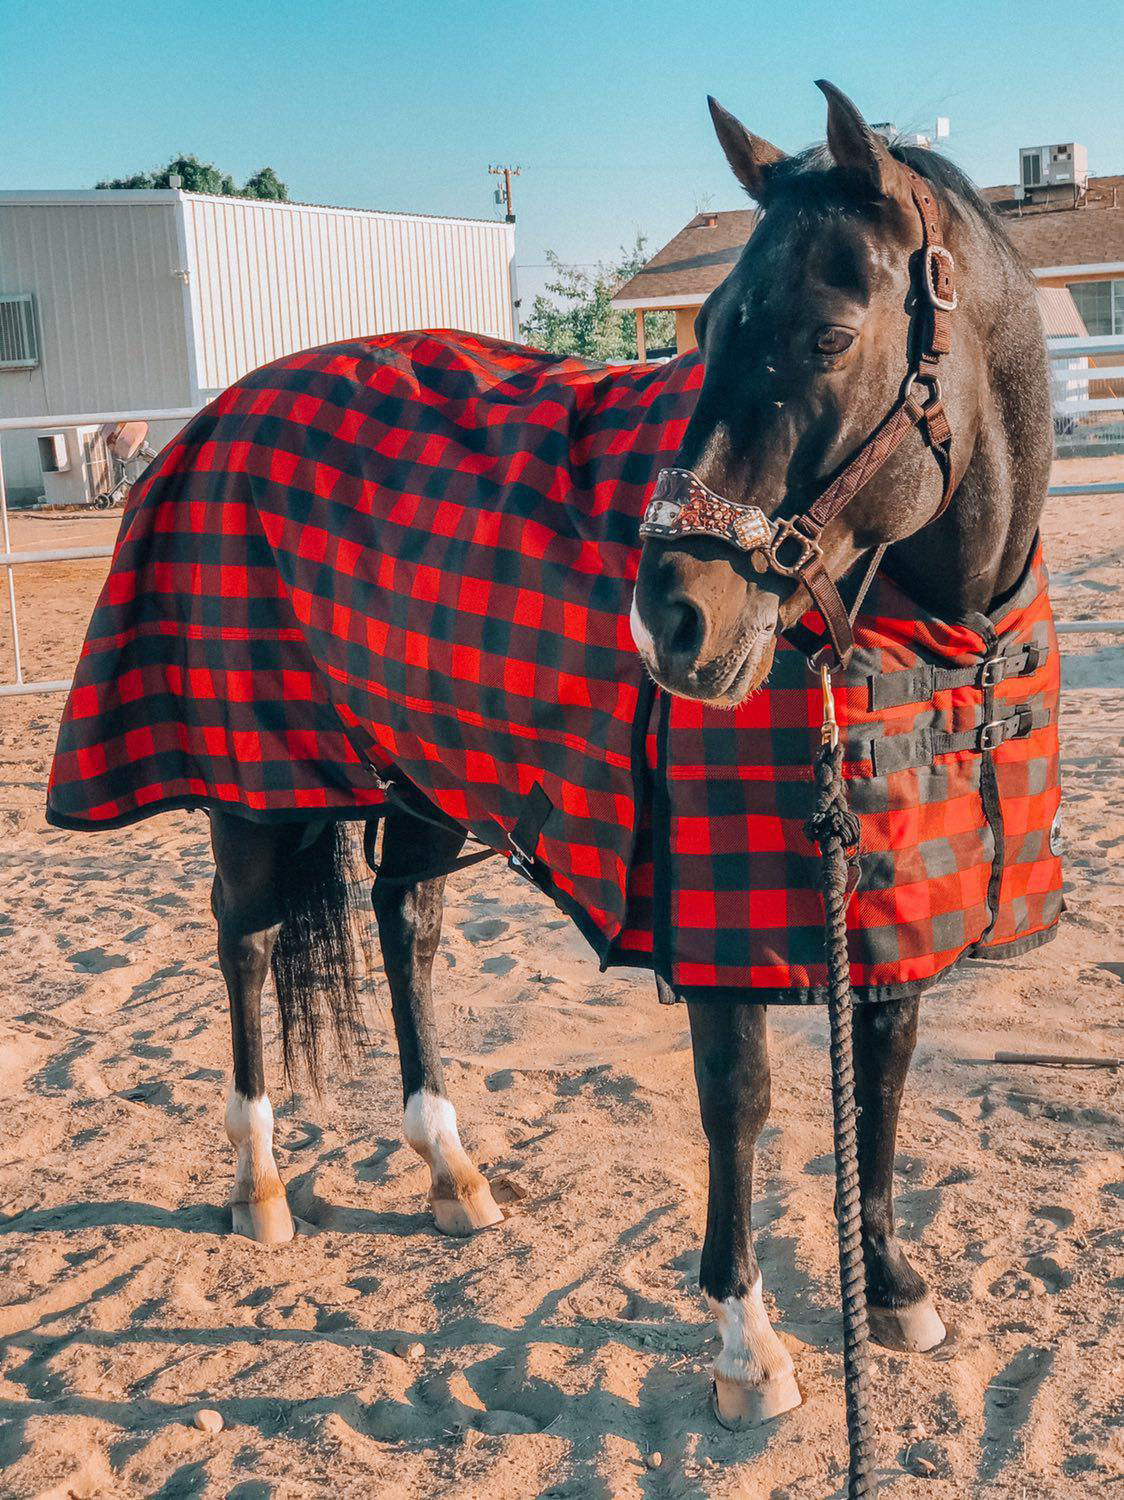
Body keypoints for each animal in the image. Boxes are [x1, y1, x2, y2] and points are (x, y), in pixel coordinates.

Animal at [45, 76, 1062, 1434]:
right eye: (708, 330)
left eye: (830, 336)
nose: (668, 619)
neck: (947, 622)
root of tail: (220, 410)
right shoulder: (722, 918)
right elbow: (738, 1103)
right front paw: (748, 1345)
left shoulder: (898, 893)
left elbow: (884, 1076)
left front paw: (891, 1289)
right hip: (255, 780)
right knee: (247, 940)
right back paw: (257, 1184)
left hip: (419, 771)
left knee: (406, 923)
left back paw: (448, 1169)